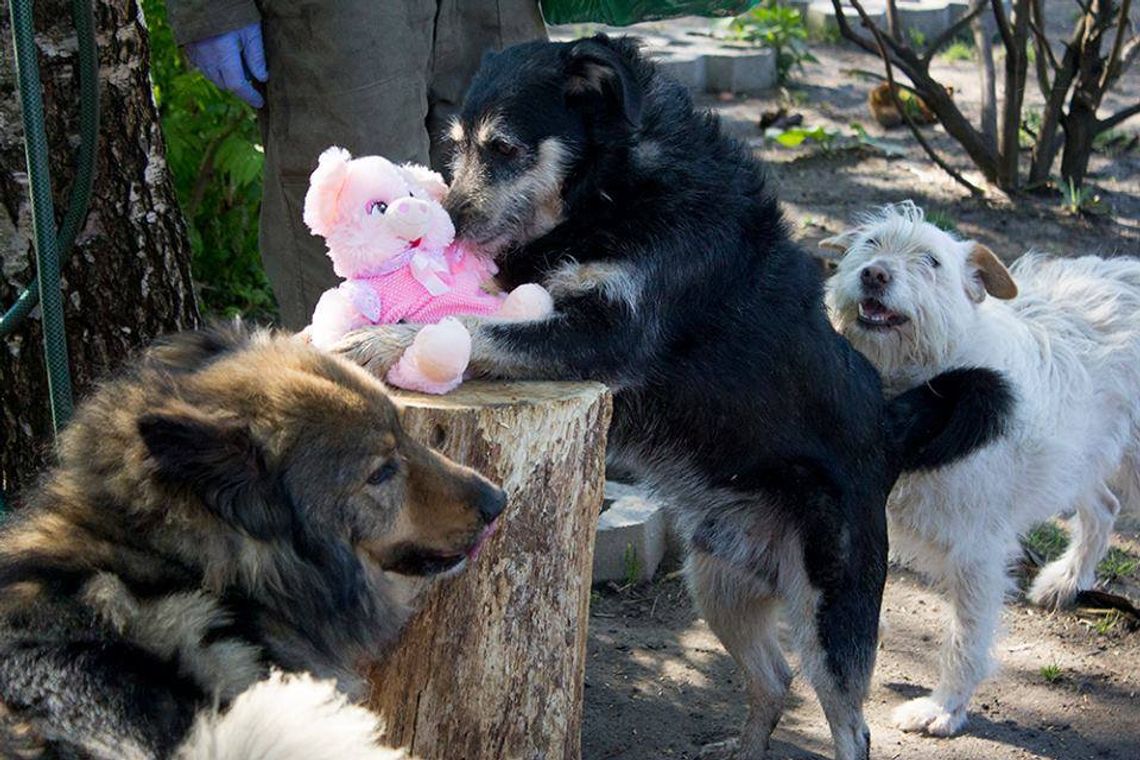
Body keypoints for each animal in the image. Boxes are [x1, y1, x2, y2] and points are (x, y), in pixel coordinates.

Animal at [337, 35, 1007, 760]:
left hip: (832, 611)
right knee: (773, 681)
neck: (618, 186)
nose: (446, 229)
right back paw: (742, 751)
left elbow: (470, 326)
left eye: (505, 148)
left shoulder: (607, 334)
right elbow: (480, 309)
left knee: (850, 727)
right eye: (456, 145)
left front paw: (383, 342)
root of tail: (886, 431)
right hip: (716, 579)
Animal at [825, 201, 1135, 738]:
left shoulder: (978, 553)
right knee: (1104, 505)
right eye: (871, 244)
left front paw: (944, 708)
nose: (874, 274)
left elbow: (966, 638)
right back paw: (1064, 581)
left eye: (930, 261)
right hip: (1079, 454)